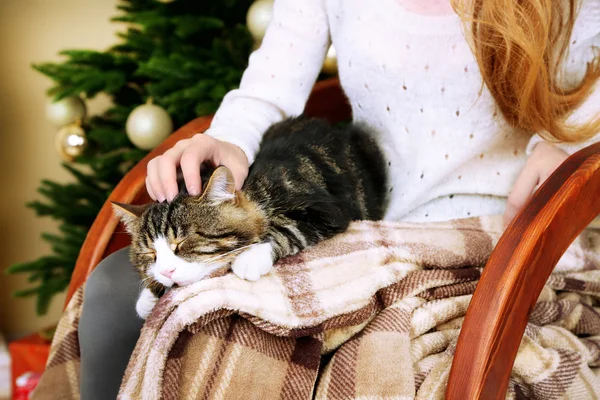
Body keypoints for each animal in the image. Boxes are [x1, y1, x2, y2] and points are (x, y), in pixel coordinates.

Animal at [112, 116, 390, 318]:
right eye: (150, 254)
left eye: (182, 243)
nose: (166, 272)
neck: (256, 191)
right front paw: (150, 294)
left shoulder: (328, 209)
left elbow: (288, 228)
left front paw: (251, 256)